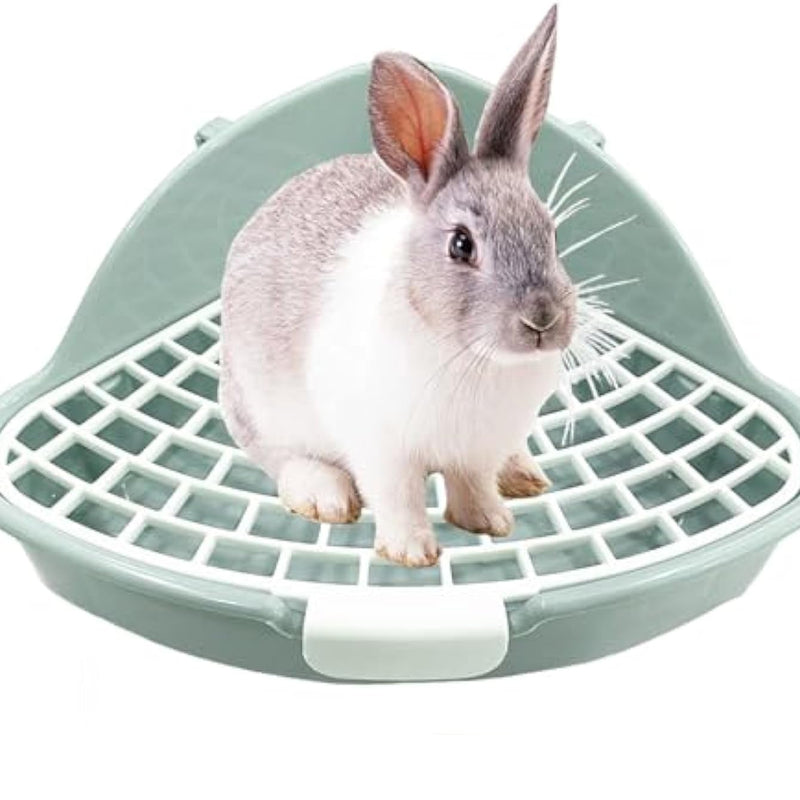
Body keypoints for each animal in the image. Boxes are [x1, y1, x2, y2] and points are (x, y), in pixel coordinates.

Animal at [220, 4, 575, 567]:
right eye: (461, 245)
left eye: (552, 232)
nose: (543, 319)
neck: (471, 356)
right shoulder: (381, 449)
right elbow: (399, 496)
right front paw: (411, 553)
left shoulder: (477, 449)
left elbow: (473, 485)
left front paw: (491, 522)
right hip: (260, 407)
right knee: (280, 457)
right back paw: (324, 495)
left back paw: (523, 474)